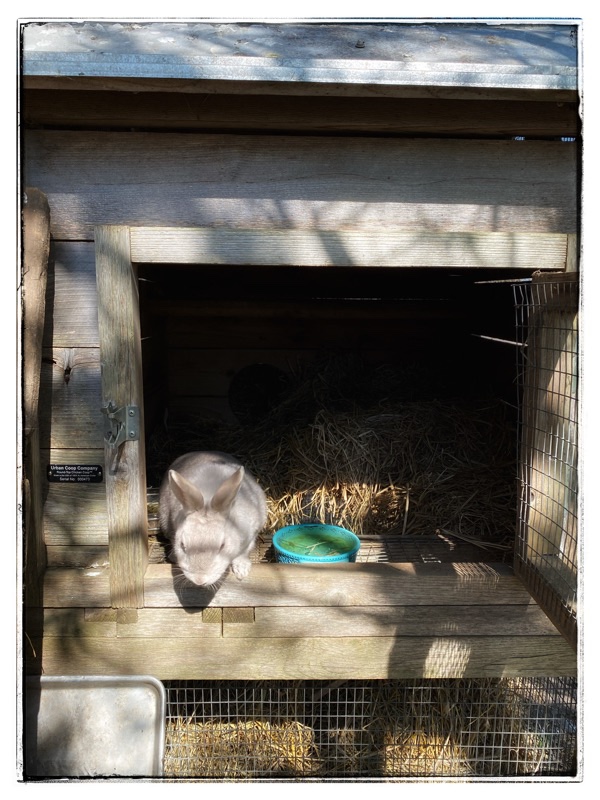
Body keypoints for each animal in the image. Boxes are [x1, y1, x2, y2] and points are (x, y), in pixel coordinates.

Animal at [159, 451, 267, 588]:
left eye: (222, 546)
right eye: (182, 545)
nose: (199, 581)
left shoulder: (251, 534)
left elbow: (243, 553)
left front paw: (241, 572)